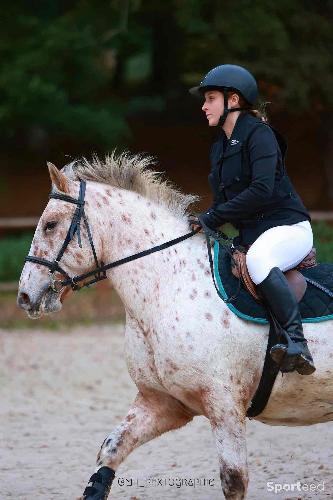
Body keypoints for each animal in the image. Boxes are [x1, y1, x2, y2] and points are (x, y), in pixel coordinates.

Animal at [17, 153, 332, 500]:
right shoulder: (163, 403)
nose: (24, 296)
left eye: (50, 225)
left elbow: (233, 480)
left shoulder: (225, 408)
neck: (167, 284)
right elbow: (111, 450)